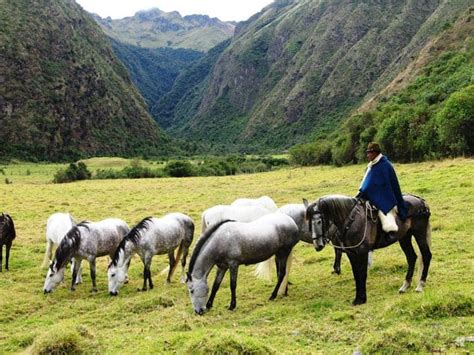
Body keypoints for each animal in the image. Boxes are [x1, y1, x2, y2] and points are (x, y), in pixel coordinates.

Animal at [304, 195, 434, 306]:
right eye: (309, 222)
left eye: (319, 221)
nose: (318, 245)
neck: (351, 220)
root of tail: (421, 201)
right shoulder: (352, 254)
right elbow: (356, 275)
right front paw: (358, 298)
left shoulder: (362, 253)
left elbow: (362, 274)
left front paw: (361, 298)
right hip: (404, 237)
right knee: (411, 257)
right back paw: (405, 285)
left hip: (419, 233)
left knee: (426, 255)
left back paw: (420, 285)